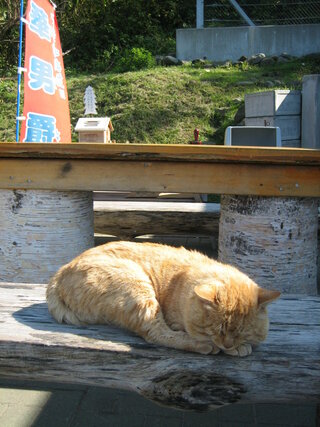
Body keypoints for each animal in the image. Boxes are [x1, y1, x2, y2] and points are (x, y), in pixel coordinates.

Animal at [46, 241, 278, 358]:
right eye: (218, 330)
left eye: (242, 332)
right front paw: (232, 348)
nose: (228, 343)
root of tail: (60, 273)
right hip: (136, 286)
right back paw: (200, 345)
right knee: (155, 334)